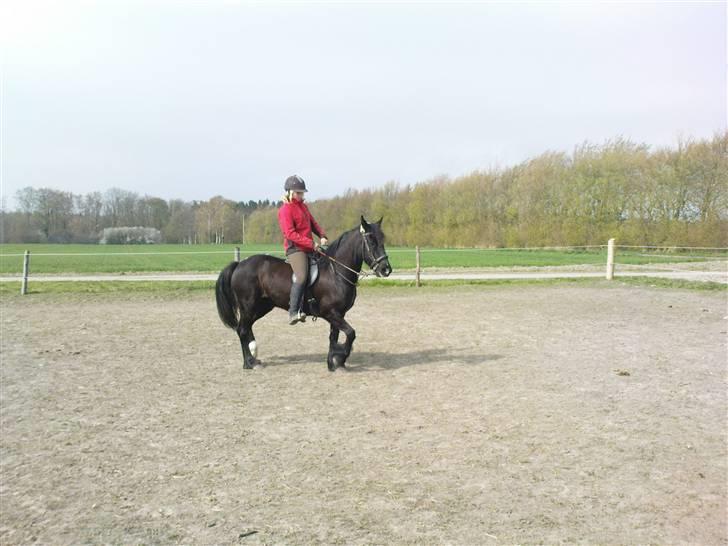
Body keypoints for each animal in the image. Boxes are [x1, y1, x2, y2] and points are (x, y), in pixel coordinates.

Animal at [215, 216, 392, 371]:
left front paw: (334, 363)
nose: (386, 270)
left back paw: (254, 356)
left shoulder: (338, 314)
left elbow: (334, 337)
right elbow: (350, 333)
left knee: (247, 328)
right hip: (249, 307)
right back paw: (249, 362)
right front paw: (341, 356)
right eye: (371, 240)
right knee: (242, 330)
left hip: (262, 307)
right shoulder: (331, 313)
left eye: (382, 239)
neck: (336, 272)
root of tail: (239, 264)